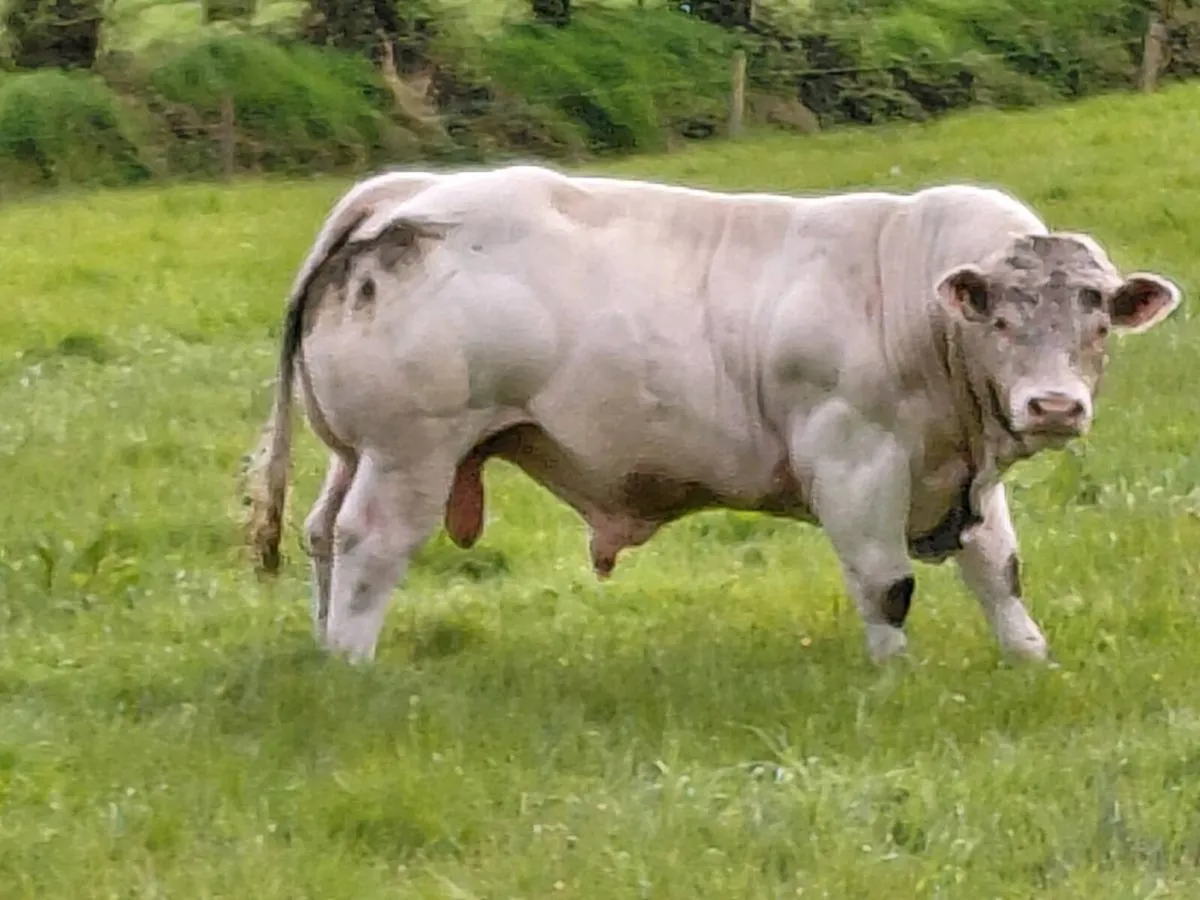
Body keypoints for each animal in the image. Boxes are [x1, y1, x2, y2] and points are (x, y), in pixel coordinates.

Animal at [242, 164, 1182, 665]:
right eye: (1001, 320)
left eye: (1099, 319)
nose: (1054, 405)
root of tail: (405, 193)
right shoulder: (855, 460)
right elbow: (887, 585)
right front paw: (895, 676)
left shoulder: (962, 475)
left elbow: (1000, 570)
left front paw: (1030, 659)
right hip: (411, 452)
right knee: (371, 545)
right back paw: (355, 662)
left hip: (355, 452)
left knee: (323, 534)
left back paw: (325, 648)